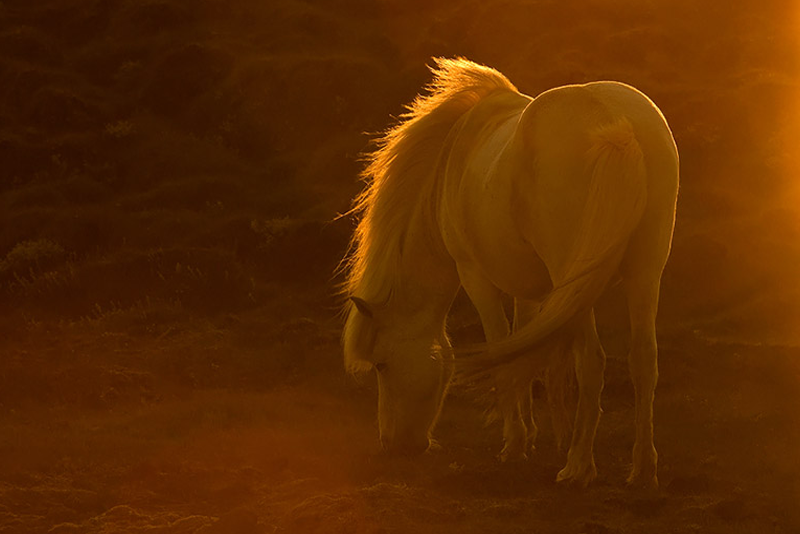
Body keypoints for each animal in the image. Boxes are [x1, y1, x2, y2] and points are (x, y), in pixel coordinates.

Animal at [341, 57, 678, 488]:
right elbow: (531, 355)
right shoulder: (534, 290)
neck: (454, 156)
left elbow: (504, 355)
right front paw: (543, 436)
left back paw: (578, 467)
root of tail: (617, 127)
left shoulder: (476, 277)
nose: (393, 446)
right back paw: (642, 469)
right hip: (644, 275)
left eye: (381, 364)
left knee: (592, 361)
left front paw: (516, 444)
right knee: (643, 360)